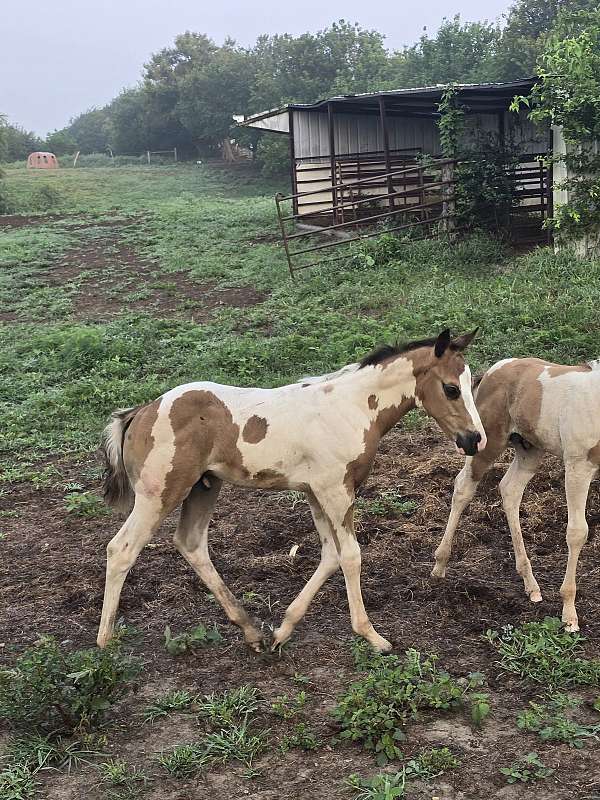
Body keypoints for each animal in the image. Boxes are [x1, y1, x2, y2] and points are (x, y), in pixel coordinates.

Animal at [97, 328, 486, 653]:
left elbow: (330, 555)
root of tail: (140, 413)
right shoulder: (335, 491)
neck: (352, 408)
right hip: (159, 493)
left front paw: (283, 629)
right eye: (451, 388)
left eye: (472, 383)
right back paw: (106, 642)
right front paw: (372, 635)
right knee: (121, 549)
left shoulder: (316, 492)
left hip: (203, 487)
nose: (474, 440)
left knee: (191, 543)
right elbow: (351, 556)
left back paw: (251, 631)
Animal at [432, 356, 600, 632]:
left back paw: (531, 584)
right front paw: (569, 613)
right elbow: (577, 532)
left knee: (510, 489)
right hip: (488, 442)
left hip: (529, 449)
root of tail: (493, 370)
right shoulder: (578, 466)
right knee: (463, 487)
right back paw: (439, 565)